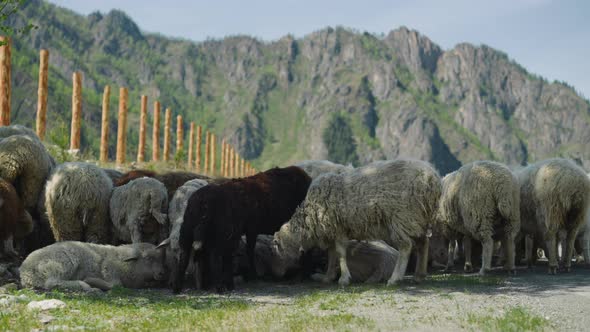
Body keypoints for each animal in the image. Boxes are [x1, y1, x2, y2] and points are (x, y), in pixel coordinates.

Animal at [20, 240, 168, 292]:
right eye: (148, 258)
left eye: (161, 258)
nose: (162, 273)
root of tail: (25, 272)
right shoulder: (108, 268)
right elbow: (116, 285)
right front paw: (93, 281)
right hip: (62, 262)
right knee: (52, 283)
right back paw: (85, 285)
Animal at [172, 166, 314, 294]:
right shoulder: (243, 231)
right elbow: (243, 252)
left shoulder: (248, 230)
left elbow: (246, 251)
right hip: (220, 233)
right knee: (215, 255)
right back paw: (220, 286)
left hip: (188, 230)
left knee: (184, 255)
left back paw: (178, 288)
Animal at [272, 158, 440, 286]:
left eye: (278, 246)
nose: (280, 273)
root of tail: (431, 177)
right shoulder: (331, 231)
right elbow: (332, 255)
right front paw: (327, 277)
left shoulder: (338, 228)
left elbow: (340, 253)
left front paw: (344, 278)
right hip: (418, 218)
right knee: (423, 243)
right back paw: (419, 275)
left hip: (403, 216)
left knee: (406, 247)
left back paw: (395, 278)